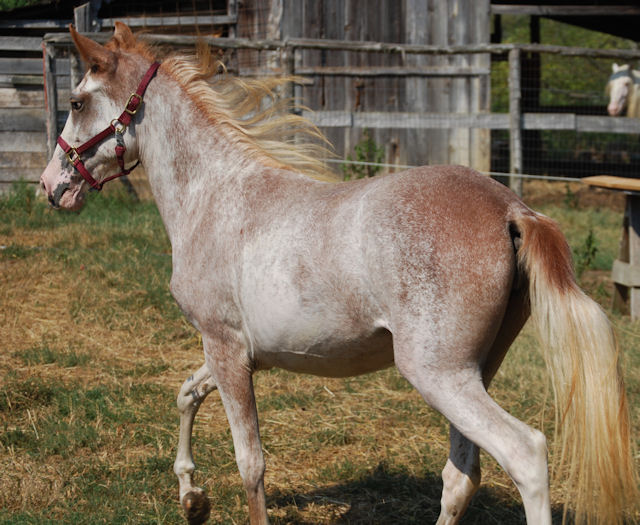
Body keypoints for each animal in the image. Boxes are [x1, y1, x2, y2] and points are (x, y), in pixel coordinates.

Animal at [41, 24, 640, 524]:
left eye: (76, 101)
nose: (51, 186)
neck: (215, 195)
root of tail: (511, 208)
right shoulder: (237, 351)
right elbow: (187, 394)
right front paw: (192, 497)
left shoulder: (226, 348)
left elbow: (250, 462)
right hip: (473, 374)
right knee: (460, 476)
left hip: (439, 375)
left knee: (526, 456)